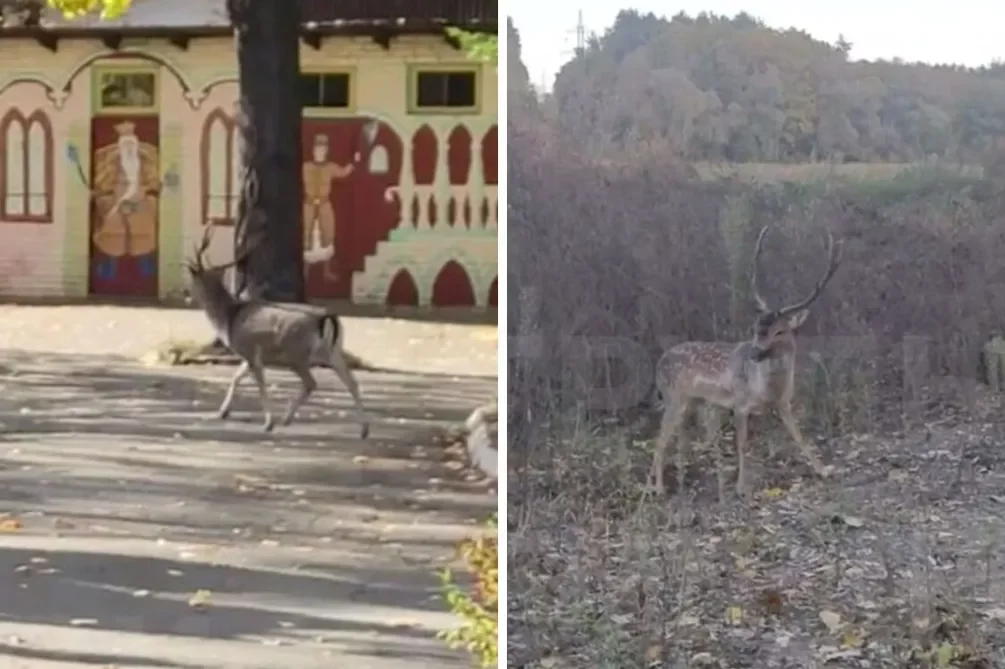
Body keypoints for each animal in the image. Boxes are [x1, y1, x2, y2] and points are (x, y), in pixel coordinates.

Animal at [647, 224, 844, 494]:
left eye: (779, 331)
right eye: (755, 327)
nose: (754, 353)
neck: (767, 390)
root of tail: (659, 363)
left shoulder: (784, 402)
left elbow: (799, 435)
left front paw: (824, 470)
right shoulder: (739, 404)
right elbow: (742, 444)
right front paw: (742, 486)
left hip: (693, 402)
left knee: (677, 440)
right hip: (673, 396)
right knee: (660, 440)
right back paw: (659, 488)